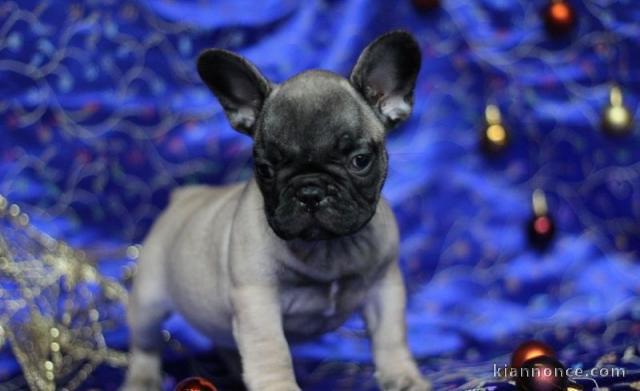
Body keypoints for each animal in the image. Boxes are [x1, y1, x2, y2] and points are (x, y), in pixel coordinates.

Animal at [123, 31, 430, 391]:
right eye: (265, 169)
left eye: (360, 160)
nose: (310, 191)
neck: (328, 248)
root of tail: (184, 196)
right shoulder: (258, 302)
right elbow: (271, 351)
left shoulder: (385, 288)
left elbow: (390, 337)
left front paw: (403, 378)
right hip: (149, 300)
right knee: (145, 346)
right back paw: (142, 380)